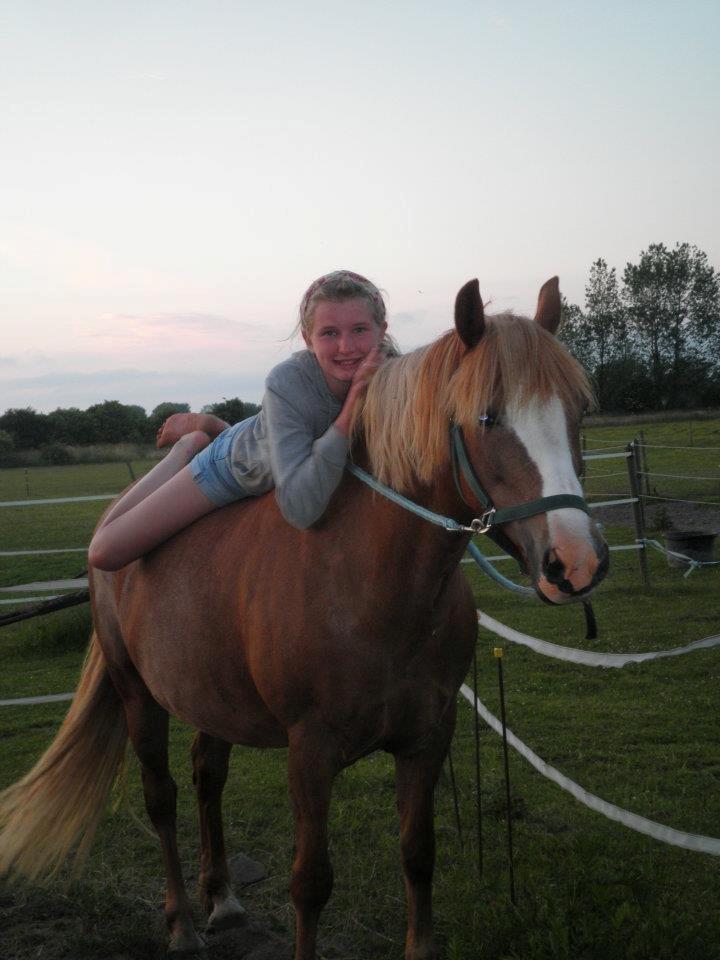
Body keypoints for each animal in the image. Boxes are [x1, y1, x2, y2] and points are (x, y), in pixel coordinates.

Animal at [0, 277, 608, 960]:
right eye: (487, 417)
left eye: (578, 411)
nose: (576, 561)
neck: (371, 586)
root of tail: (111, 518)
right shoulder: (310, 753)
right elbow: (311, 883)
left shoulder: (428, 737)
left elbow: (418, 856)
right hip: (138, 692)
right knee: (162, 797)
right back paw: (182, 921)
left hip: (211, 693)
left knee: (207, 776)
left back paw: (223, 900)